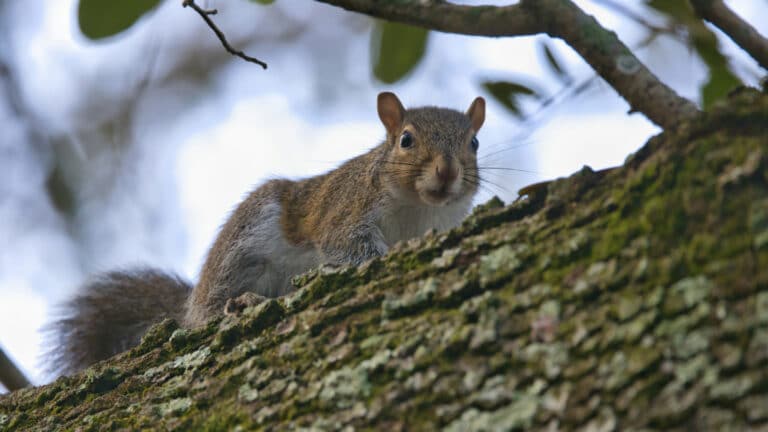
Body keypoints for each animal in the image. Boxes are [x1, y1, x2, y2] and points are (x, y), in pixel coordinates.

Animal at [45, 92, 485, 376]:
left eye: (474, 143)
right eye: (406, 140)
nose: (447, 171)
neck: (419, 209)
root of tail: (190, 305)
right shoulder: (345, 213)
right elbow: (348, 245)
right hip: (246, 244)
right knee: (211, 311)